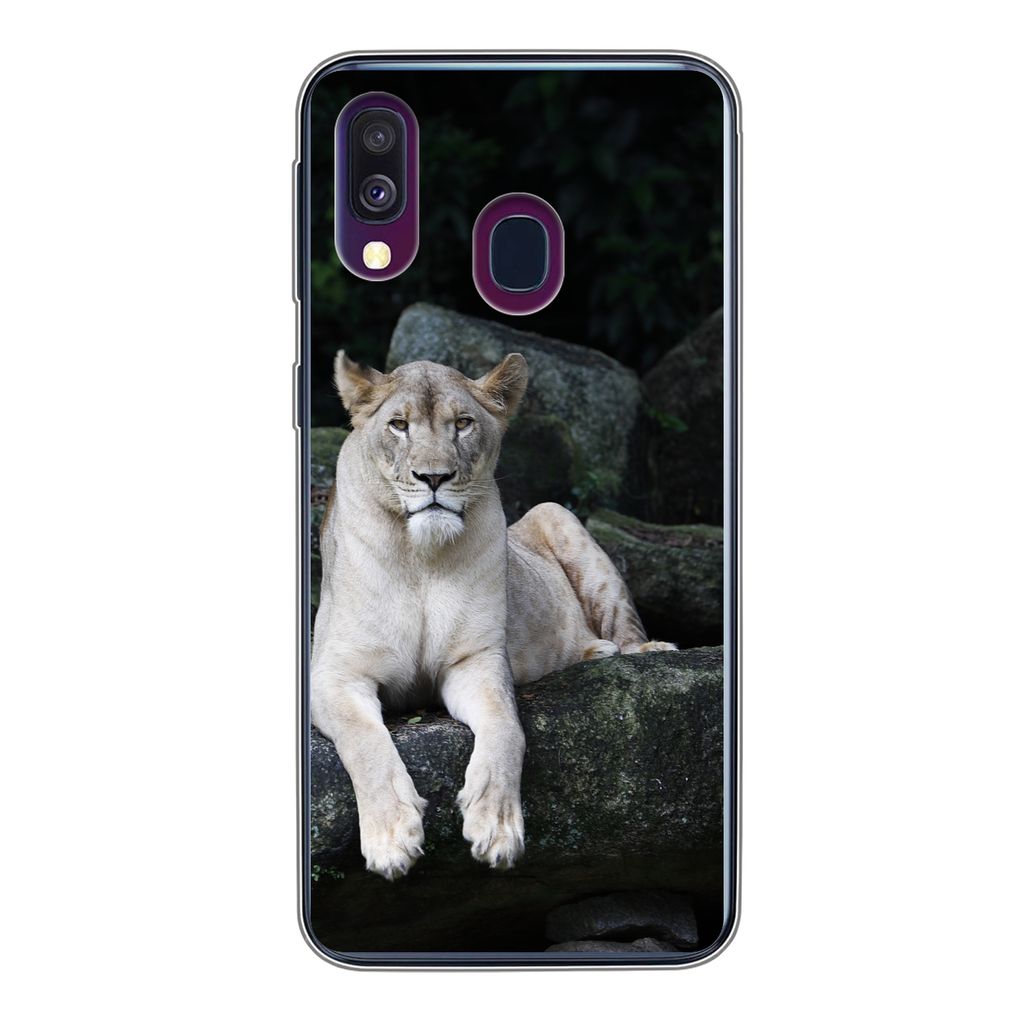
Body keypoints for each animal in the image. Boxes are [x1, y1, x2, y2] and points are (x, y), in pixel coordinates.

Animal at [311, 350, 675, 880]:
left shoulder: (476, 661)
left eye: (462, 424)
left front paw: (496, 827)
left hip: (556, 513)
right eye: (399, 425)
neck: (421, 558)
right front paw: (392, 839)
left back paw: (635, 649)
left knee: (623, 624)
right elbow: (365, 742)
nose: (434, 478)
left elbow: (507, 728)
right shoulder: (334, 674)